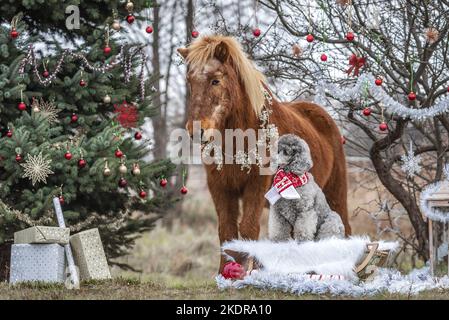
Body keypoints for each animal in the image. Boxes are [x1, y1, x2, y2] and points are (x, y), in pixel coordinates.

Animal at [178, 35, 350, 272]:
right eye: (190, 81)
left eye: (215, 80)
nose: (196, 130)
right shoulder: (220, 186)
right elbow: (227, 230)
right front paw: (226, 273)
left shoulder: (256, 186)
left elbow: (248, 228)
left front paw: (244, 273)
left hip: (334, 195)